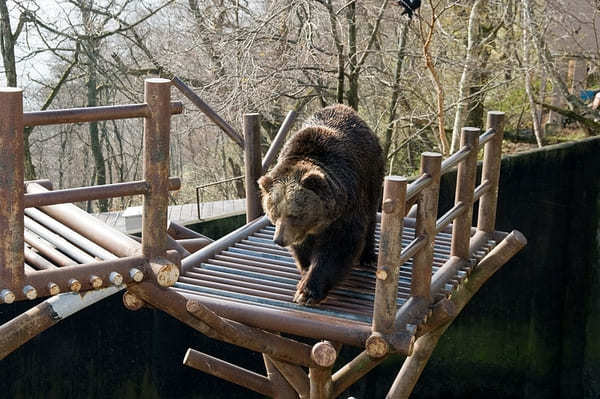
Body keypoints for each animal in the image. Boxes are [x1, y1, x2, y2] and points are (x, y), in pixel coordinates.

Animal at [258, 104, 384, 306]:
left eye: (294, 214)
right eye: (274, 214)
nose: (279, 240)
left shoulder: (346, 207)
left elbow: (338, 246)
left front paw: (307, 292)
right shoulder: (301, 232)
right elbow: (303, 249)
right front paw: (305, 271)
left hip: (371, 173)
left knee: (371, 216)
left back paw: (368, 257)